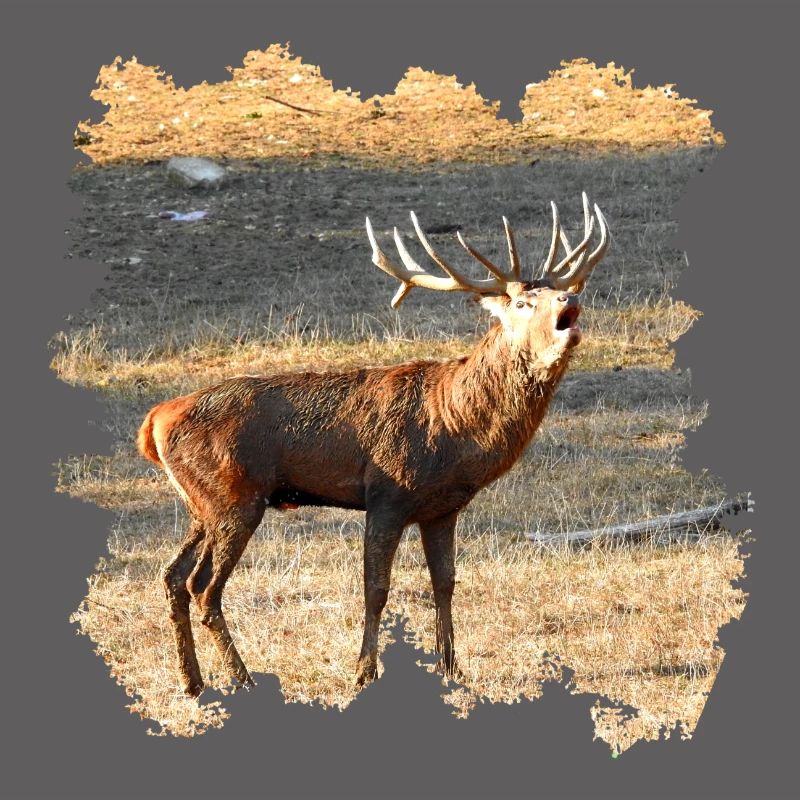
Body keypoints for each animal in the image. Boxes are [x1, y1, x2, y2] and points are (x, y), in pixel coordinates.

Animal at [137, 194, 609, 697]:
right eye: (522, 301)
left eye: (554, 291)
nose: (570, 297)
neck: (455, 428)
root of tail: (154, 421)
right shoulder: (387, 495)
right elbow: (376, 588)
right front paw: (364, 672)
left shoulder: (443, 508)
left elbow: (445, 583)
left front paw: (452, 668)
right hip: (234, 497)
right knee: (203, 586)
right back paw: (242, 678)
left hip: (202, 503)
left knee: (172, 576)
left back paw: (193, 681)